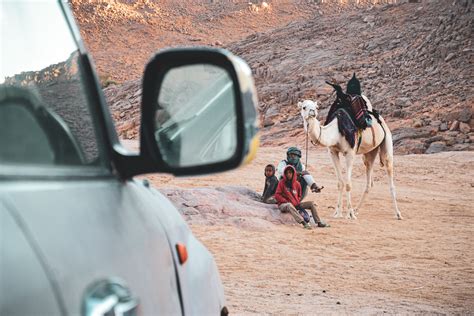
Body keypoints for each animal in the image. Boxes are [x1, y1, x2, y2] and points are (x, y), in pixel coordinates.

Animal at [298, 90, 402, 220]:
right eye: (304, 107)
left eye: (316, 107)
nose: (312, 112)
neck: (336, 130)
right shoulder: (333, 152)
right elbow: (340, 183)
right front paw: (337, 212)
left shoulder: (350, 152)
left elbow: (348, 183)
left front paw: (349, 214)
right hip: (370, 152)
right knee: (369, 179)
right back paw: (357, 209)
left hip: (387, 140)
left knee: (389, 171)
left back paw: (398, 213)